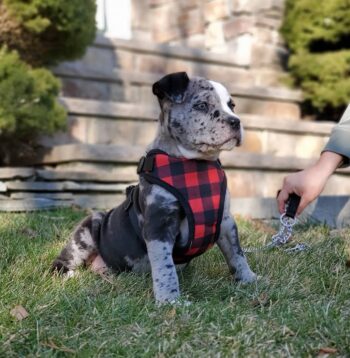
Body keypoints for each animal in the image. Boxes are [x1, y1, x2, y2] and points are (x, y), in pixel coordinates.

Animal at [53, 71, 258, 304]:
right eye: (202, 105)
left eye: (232, 105)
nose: (236, 121)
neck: (195, 163)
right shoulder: (159, 226)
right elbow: (164, 266)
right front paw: (170, 300)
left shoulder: (225, 221)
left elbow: (236, 252)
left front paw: (248, 278)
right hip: (88, 228)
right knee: (64, 259)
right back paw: (69, 275)